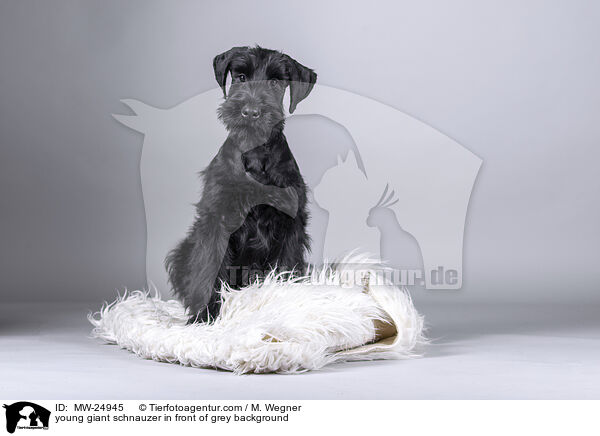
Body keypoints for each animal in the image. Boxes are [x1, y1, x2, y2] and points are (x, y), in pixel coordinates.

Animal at [164, 46, 314, 322]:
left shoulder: (290, 223)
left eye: (275, 82)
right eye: (241, 77)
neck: (255, 154)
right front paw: (204, 316)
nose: (251, 112)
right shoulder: (216, 220)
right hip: (184, 249)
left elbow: (286, 264)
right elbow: (209, 268)